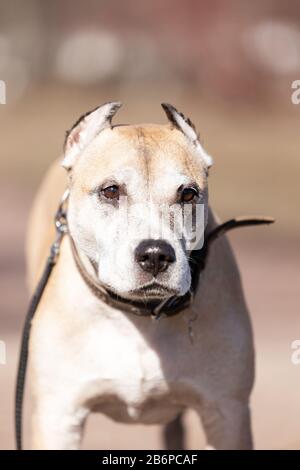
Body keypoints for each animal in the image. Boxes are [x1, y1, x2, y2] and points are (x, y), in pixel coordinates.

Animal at [27, 102, 254, 448]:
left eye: (188, 194)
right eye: (110, 191)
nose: (156, 255)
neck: (139, 316)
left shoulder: (227, 414)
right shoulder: (58, 417)